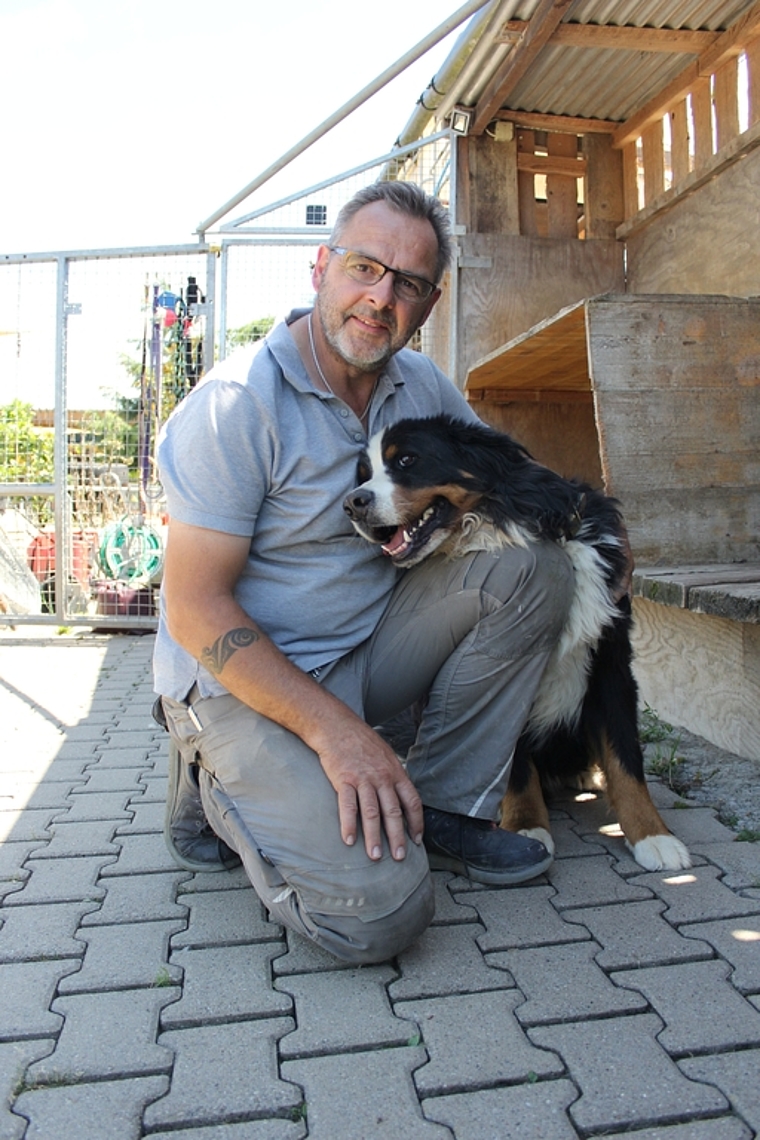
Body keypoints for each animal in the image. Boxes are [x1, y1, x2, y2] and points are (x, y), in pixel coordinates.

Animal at [348, 419, 692, 870]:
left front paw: (653, 835)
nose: (353, 503)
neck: (506, 523)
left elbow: (625, 759)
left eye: (406, 459)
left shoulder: (611, 664)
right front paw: (527, 824)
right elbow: (512, 763)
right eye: (363, 474)